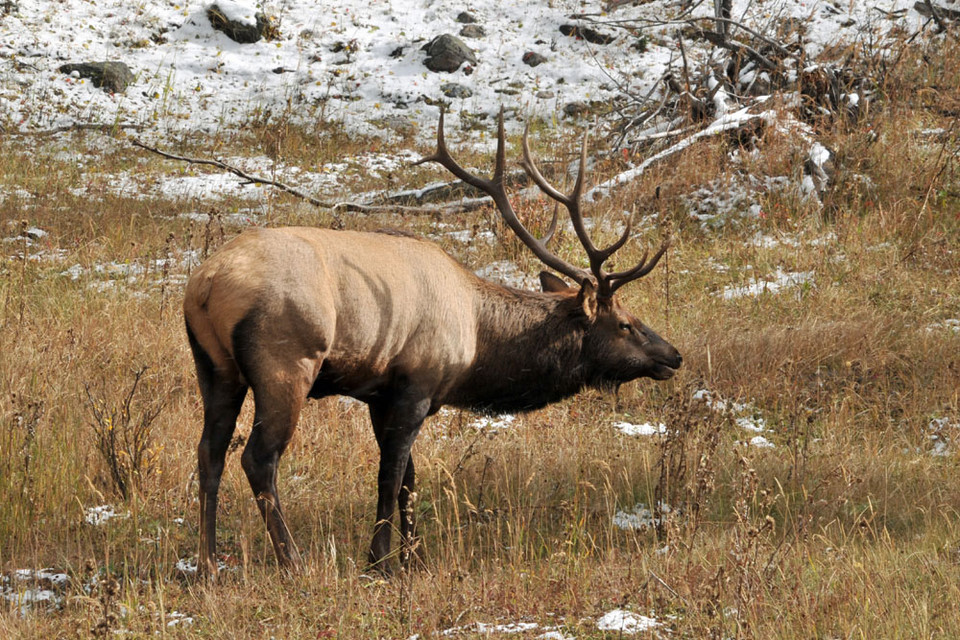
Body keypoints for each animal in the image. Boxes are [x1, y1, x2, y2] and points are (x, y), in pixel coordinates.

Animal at [184, 110, 684, 580]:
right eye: (625, 324)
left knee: (209, 452)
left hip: (215, 368)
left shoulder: (380, 394)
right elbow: (390, 478)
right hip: (286, 362)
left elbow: (409, 479)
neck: (477, 342)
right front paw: (379, 562)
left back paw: (207, 566)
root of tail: (205, 284)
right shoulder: (416, 386)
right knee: (258, 457)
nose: (673, 355)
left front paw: (415, 558)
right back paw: (293, 562)